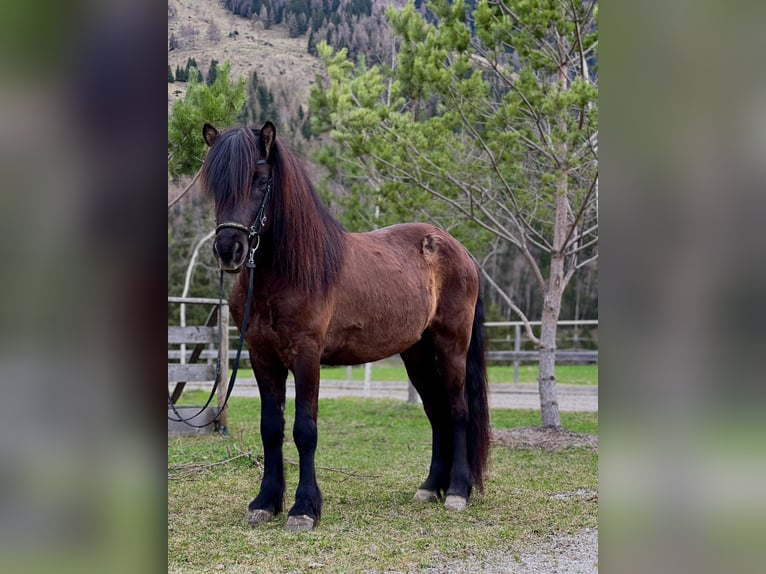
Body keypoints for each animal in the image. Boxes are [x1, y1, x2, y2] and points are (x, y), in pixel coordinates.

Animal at [200, 121, 490, 531]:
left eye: (261, 181)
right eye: (215, 184)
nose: (229, 250)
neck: (288, 272)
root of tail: (459, 250)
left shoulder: (307, 356)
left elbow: (305, 431)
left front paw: (304, 508)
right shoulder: (261, 357)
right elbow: (271, 428)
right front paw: (265, 502)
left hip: (451, 346)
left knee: (457, 409)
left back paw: (458, 492)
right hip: (416, 353)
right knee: (436, 412)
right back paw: (430, 487)